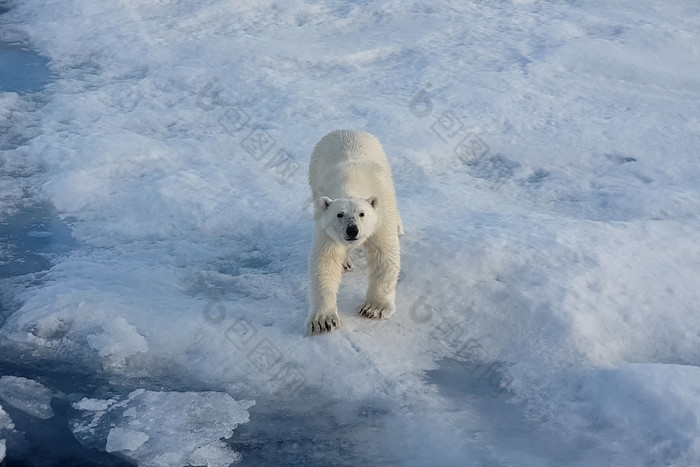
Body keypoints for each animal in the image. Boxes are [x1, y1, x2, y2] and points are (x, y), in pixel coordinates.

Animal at [308, 132, 402, 334]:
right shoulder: (326, 226)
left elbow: (384, 254)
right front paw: (324, 320)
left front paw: (374, 308)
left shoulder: (381, 217)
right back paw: (345, 263)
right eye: (339, 214)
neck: (351, 182)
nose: (352, 230)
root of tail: (343, 129)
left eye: (362, 213)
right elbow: (325, 261)